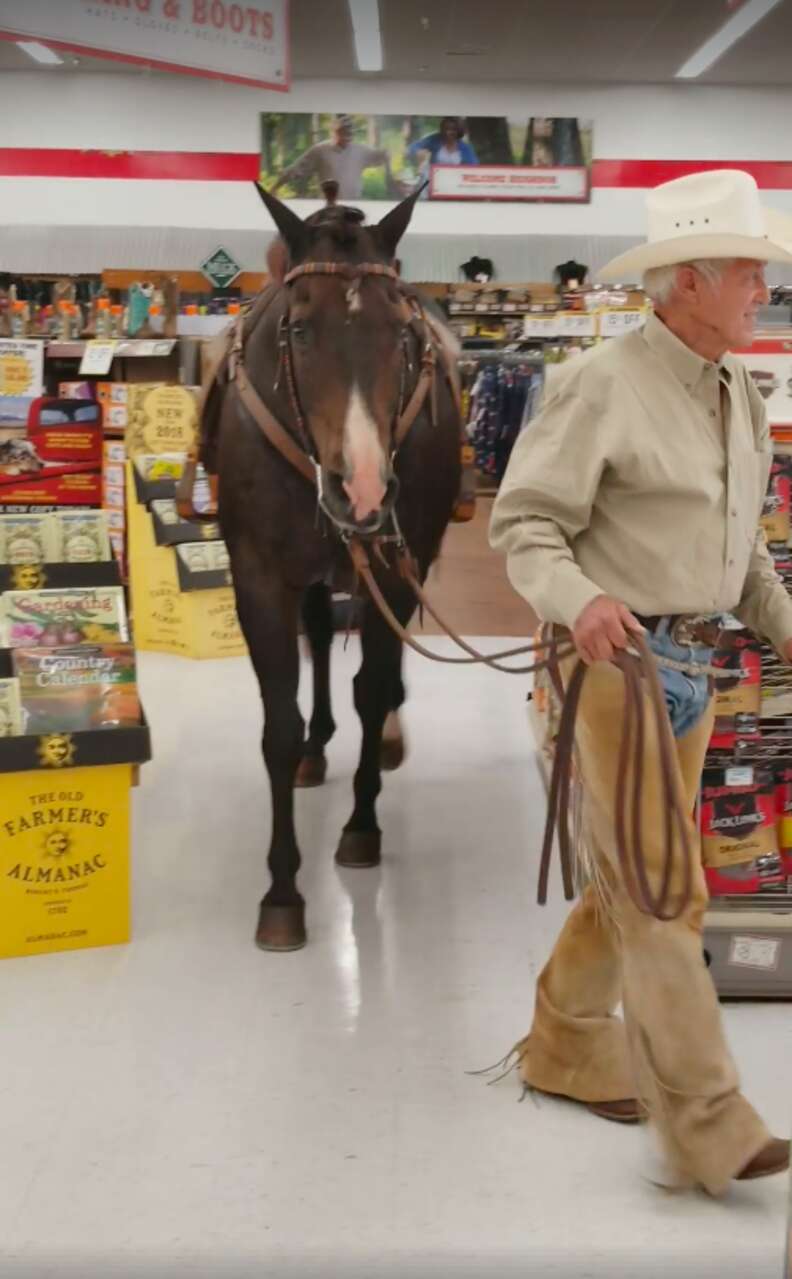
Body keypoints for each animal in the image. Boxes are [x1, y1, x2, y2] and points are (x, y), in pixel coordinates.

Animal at [200, 186, 465, 951]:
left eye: (402, 334)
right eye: (298, 330)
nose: (364, 488)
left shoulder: (399, 563)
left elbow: (372, 690)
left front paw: (361, 826)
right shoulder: (259, 579)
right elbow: (278, 726)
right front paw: (283, 891)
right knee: (318, 634)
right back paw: (319, 747)